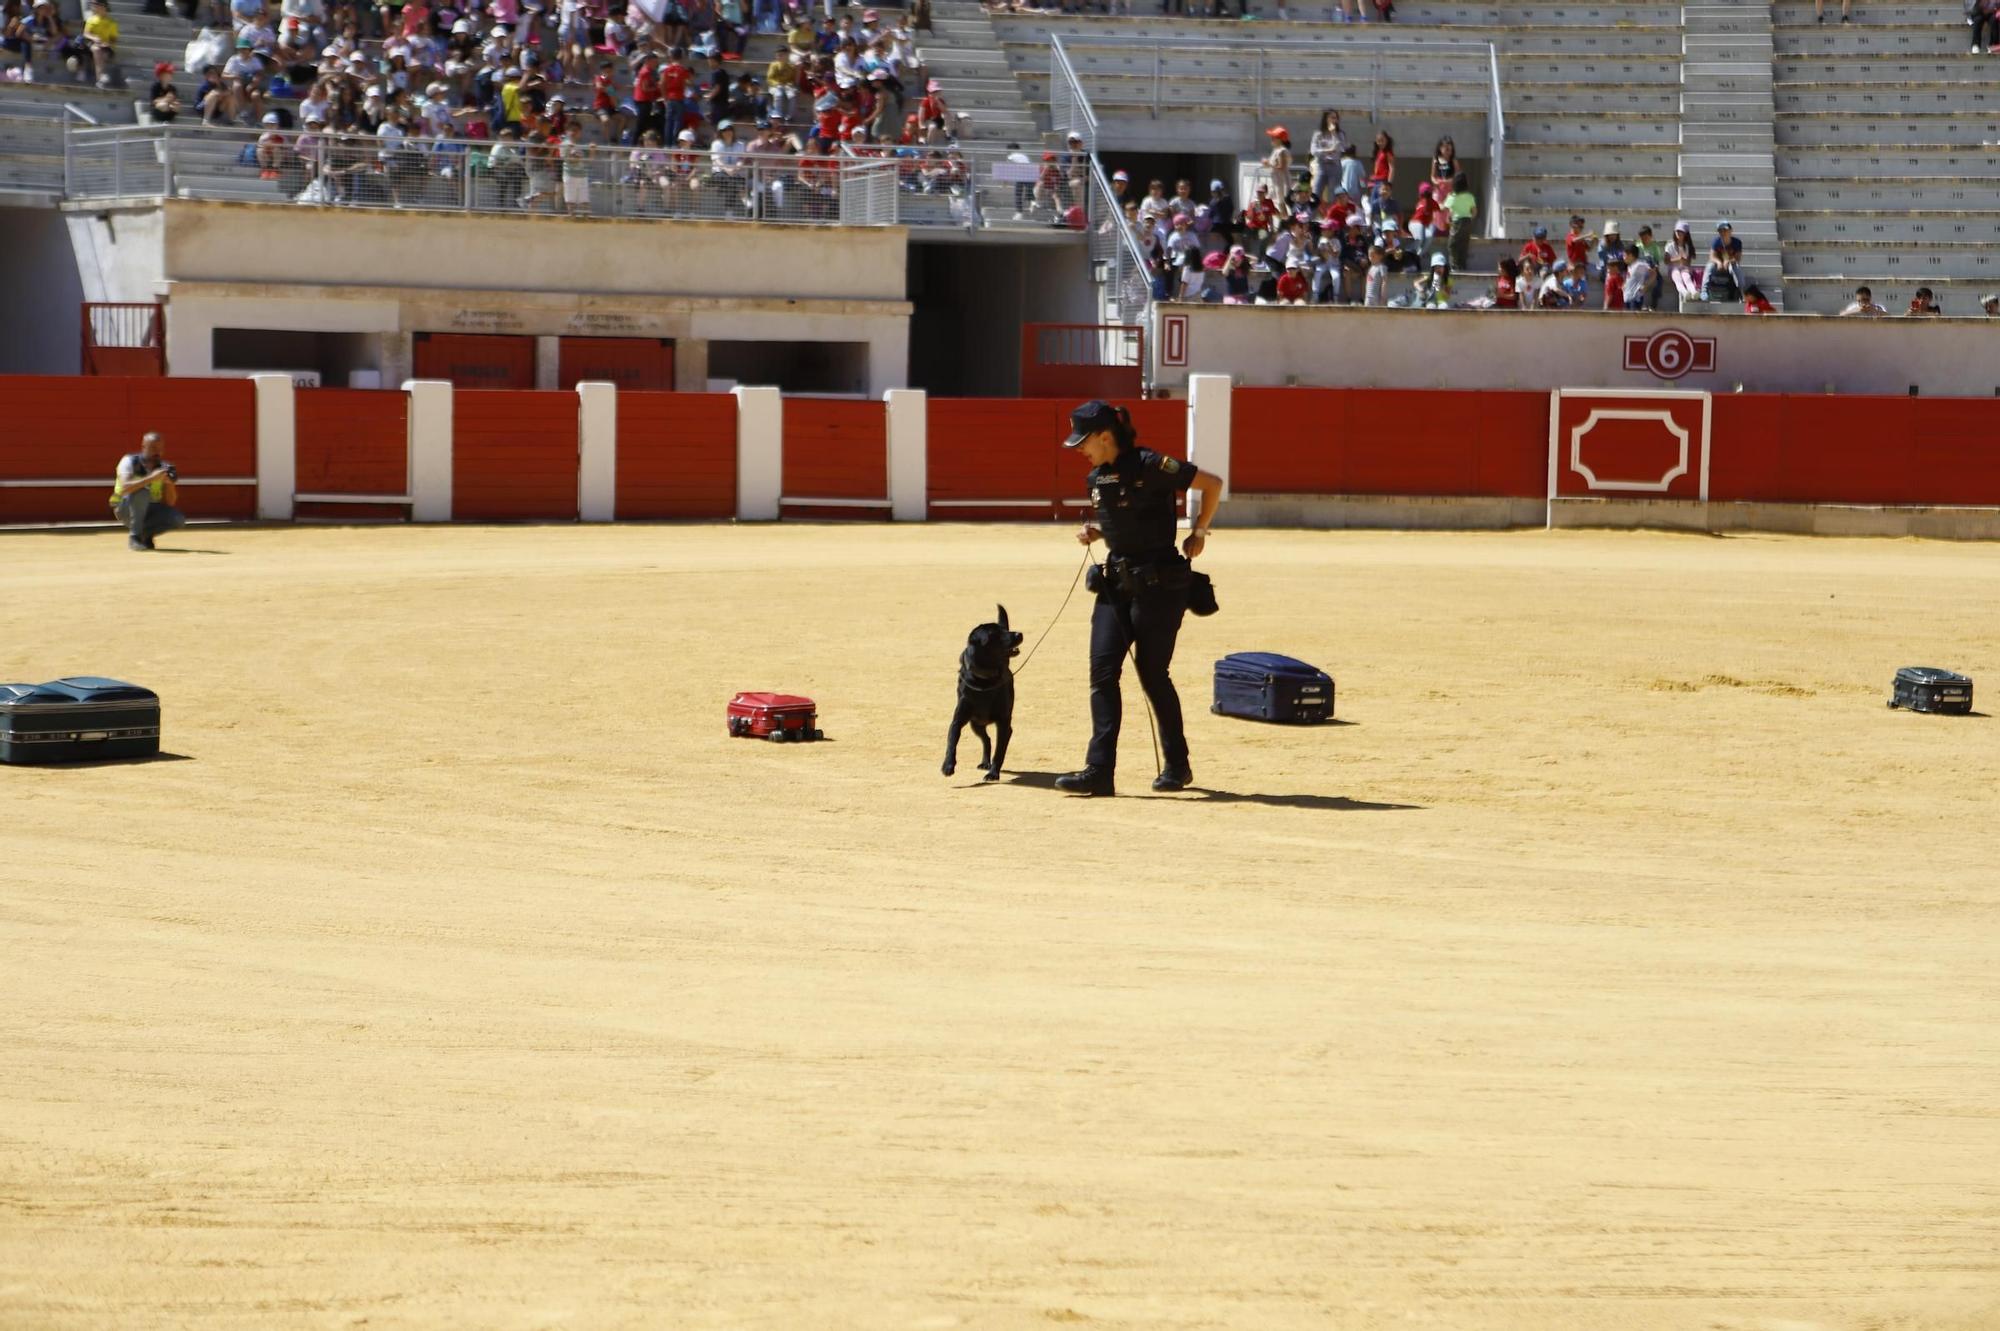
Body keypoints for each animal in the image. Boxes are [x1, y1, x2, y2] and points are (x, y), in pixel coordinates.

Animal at [944, 599, 1024, 779]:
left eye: (1005, 630)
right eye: (995, 634)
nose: (1019, 634)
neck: (985, 680)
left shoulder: (1003, 722)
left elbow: (999, 750)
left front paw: (993, 773)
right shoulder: (958, 719)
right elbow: (951, 743)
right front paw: (948, 766)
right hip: (976, 724)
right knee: (986, 740)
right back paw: (985, 762)